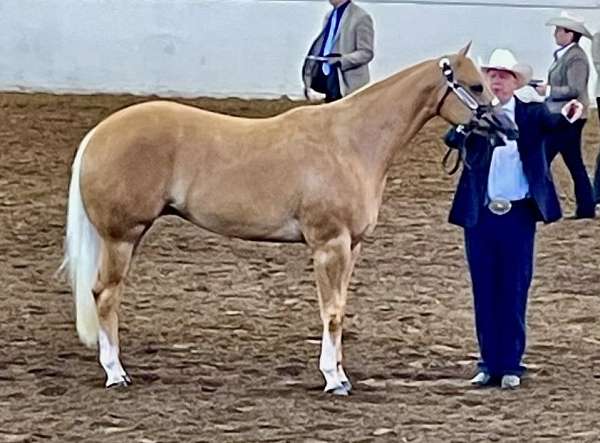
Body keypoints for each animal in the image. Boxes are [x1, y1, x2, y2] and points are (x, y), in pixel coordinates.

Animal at [62, 45, 516, 396]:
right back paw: (116, 374)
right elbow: (331, 311)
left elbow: (340, 308)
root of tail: (98, 134)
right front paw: (333, 380)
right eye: (476, 86)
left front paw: (340, 375)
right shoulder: (329, 244)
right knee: (105, 295)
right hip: (122, 237)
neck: (350, 142)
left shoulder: (352, 246)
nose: (507, 127)